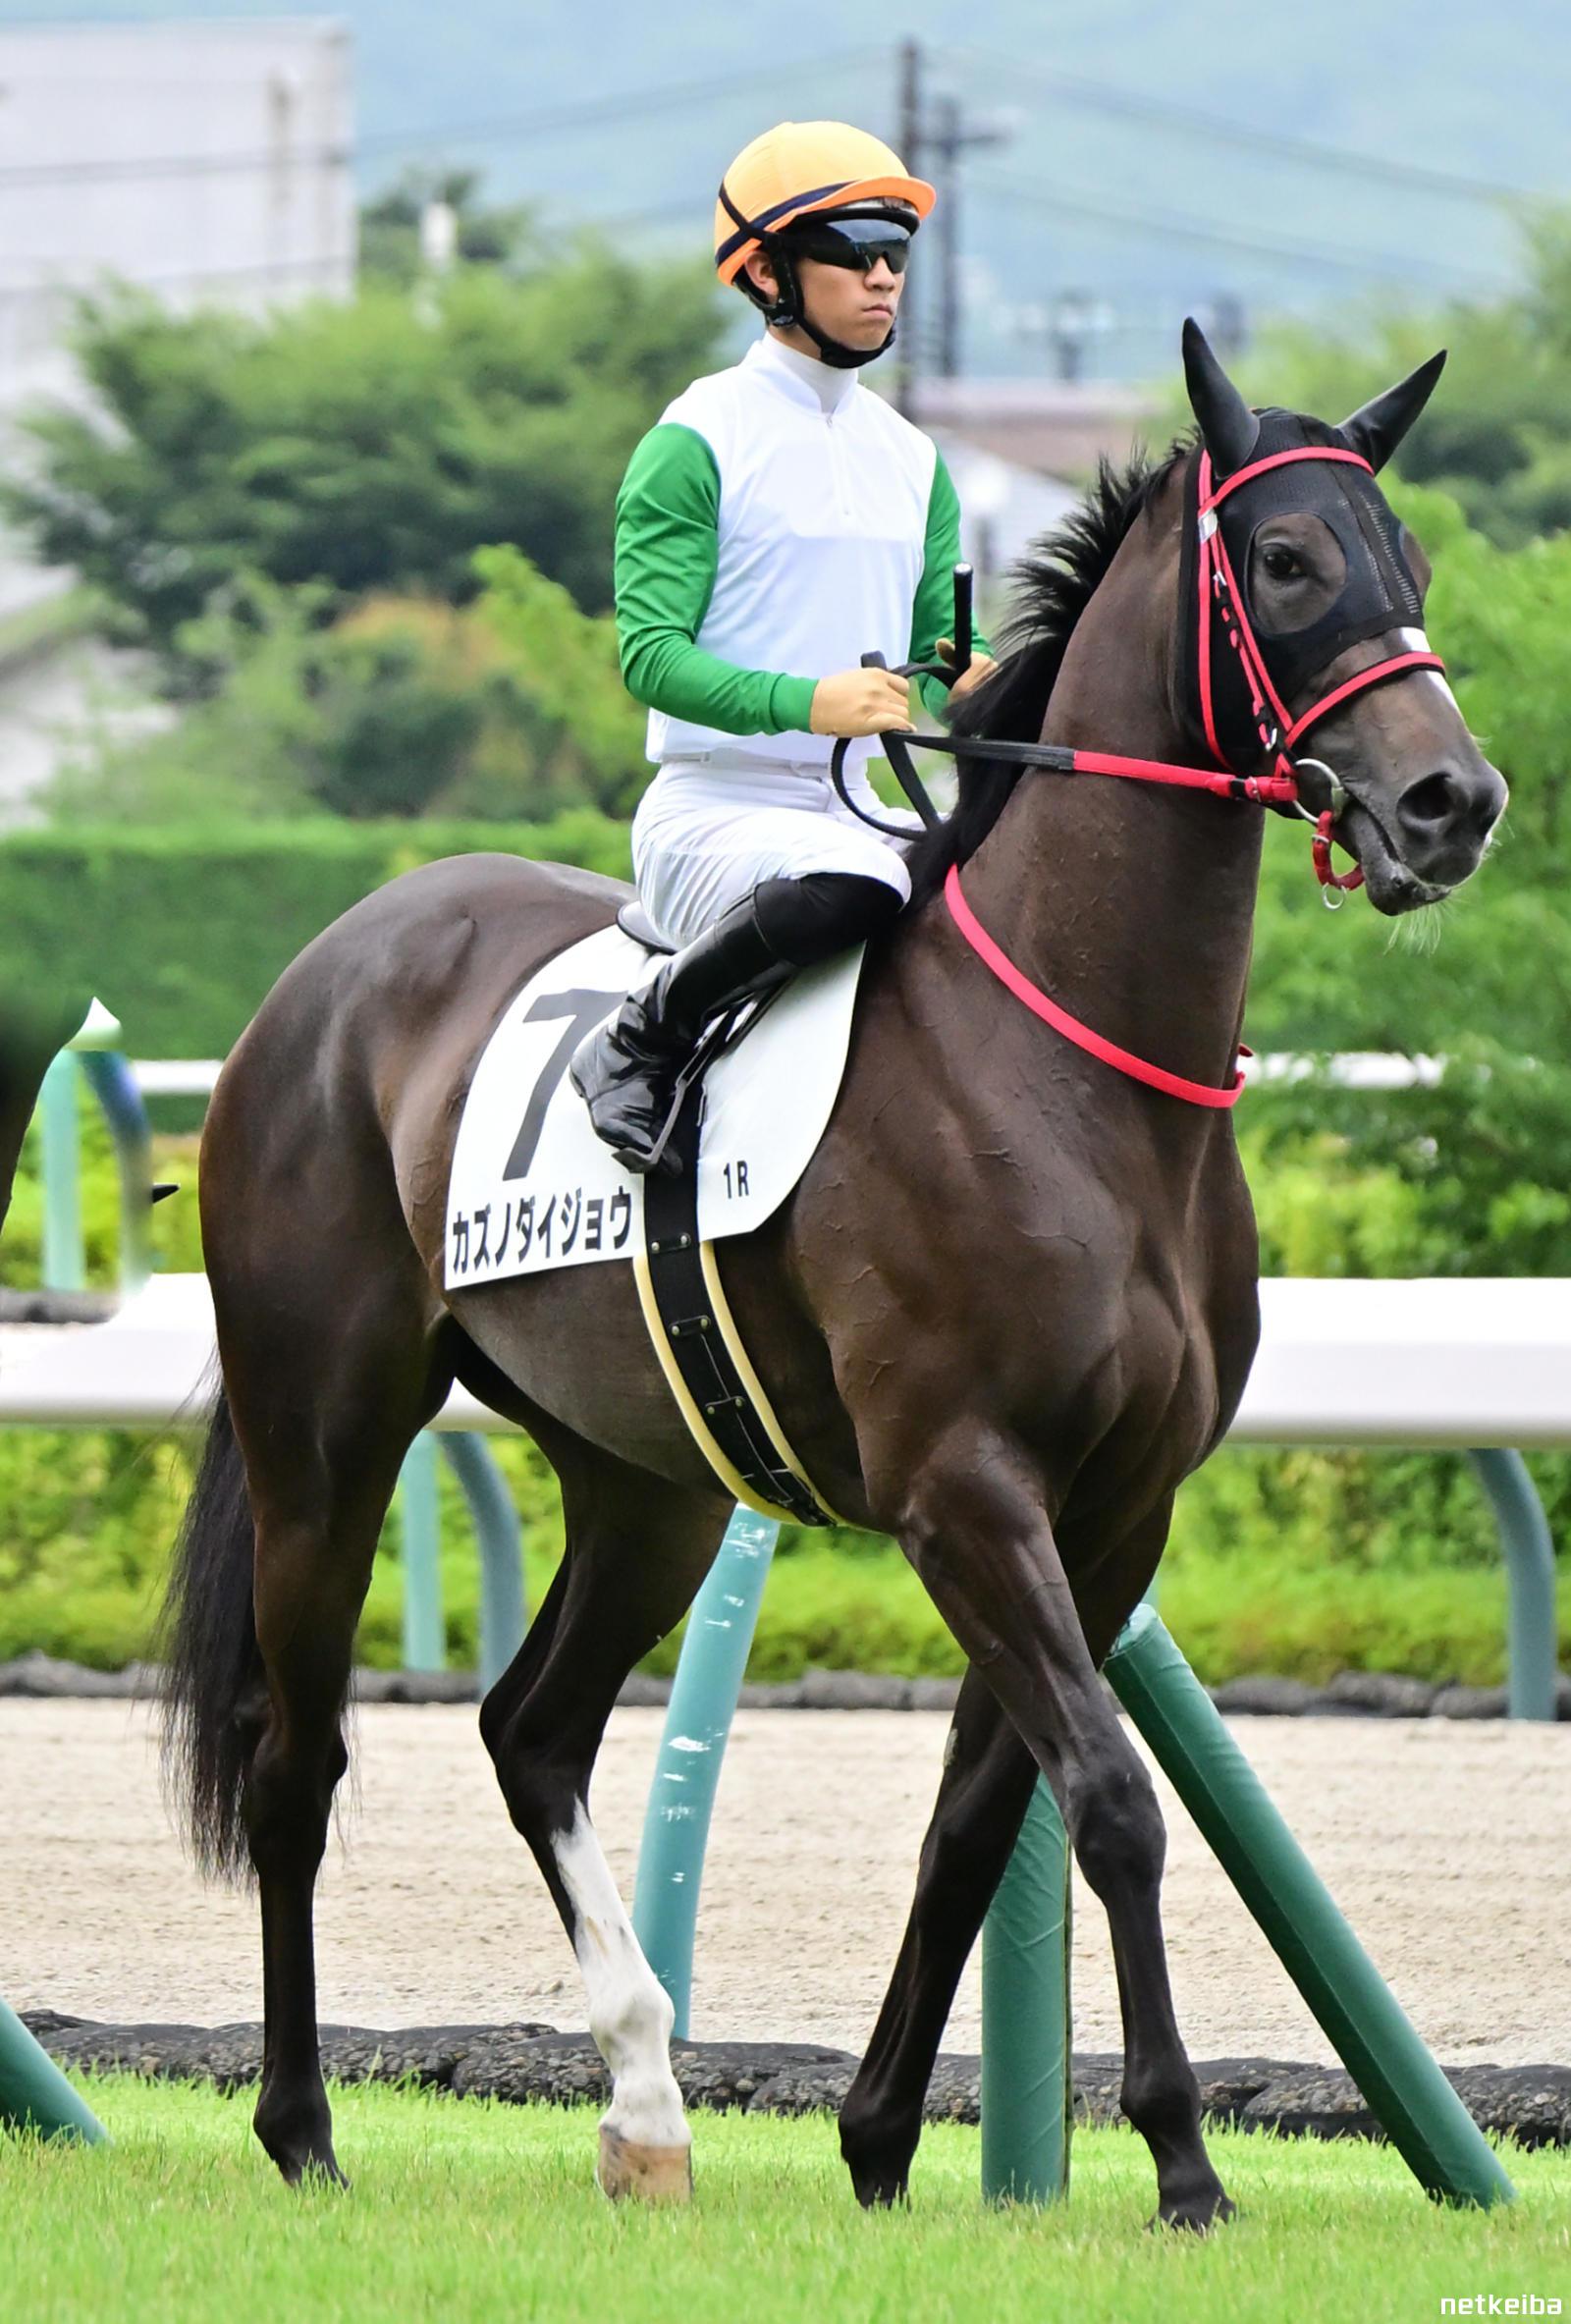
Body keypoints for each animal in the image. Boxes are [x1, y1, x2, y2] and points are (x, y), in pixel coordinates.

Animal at [162, 322, 1505, 2225]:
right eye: (1291, 561)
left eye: (1412, 561)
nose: (1451, 801)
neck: (1082, 1078)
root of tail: (323, 971)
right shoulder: (966, 1487)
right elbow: (1112, 1797)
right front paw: (1180, 2154)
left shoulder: (1113, 1510)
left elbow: (980, 1818)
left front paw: (877, 2136)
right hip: (323, 1437)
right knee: (298, 1764)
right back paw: (302, 2126)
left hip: (644, 1479)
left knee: (533, 1729)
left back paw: (647, 2104)